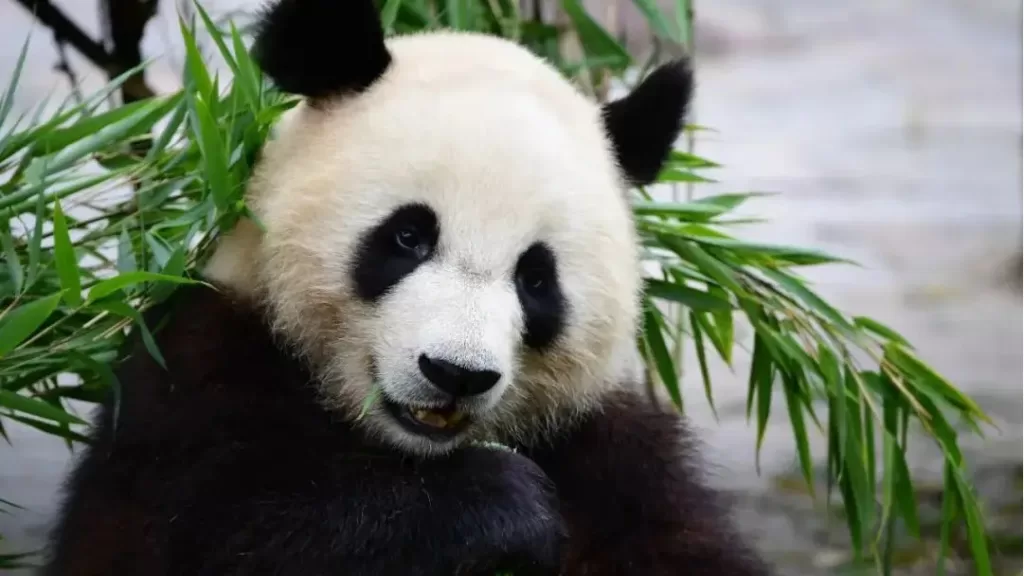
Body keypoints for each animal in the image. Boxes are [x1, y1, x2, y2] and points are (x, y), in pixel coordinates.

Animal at [43, 0, 772, 575]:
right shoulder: (195, 375)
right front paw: (502, 503)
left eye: (536, 278)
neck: (414, 452)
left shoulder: (610, 450)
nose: (456, 373)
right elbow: (219, 531)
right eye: (408, 238)